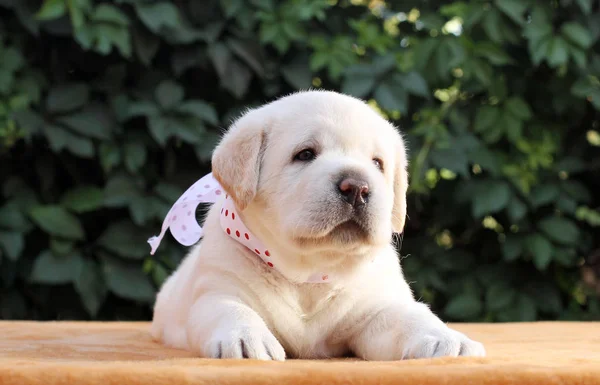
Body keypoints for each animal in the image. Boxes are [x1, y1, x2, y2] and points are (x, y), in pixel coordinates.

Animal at [152, 90, 486, 360]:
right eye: (305, 154)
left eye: (377, 163)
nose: (357, 187)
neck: (310, 273)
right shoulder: (217, 289)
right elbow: (230, 309)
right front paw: (246, 339)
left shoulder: (378, 306)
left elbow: (411, 317)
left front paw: (447, 339)